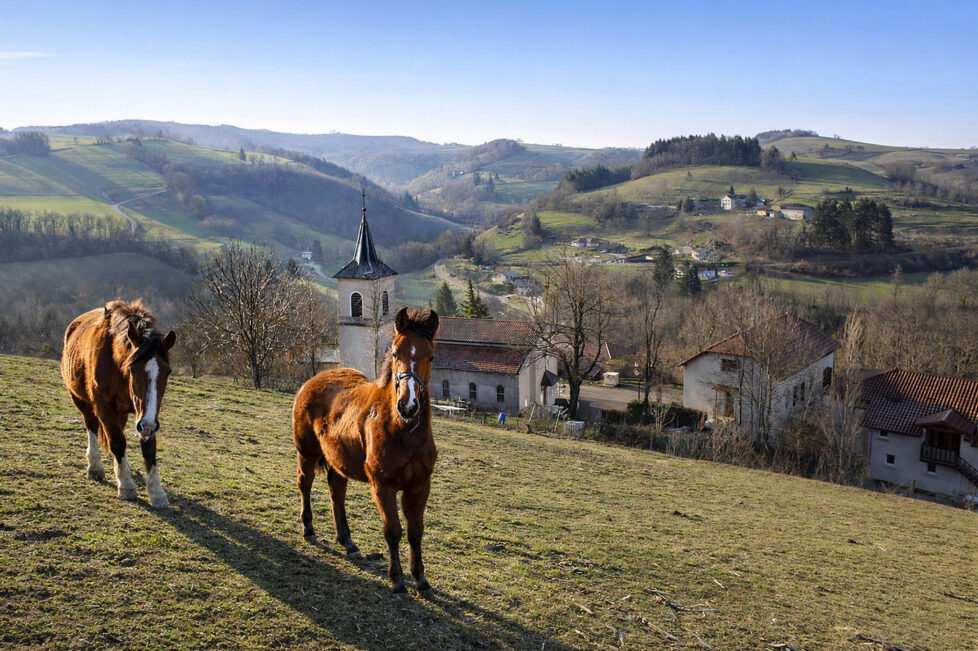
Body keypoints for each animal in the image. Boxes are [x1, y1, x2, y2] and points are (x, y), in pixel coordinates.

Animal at [61, 299, 176, 508]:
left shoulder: (148, 415)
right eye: (131, 369)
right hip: (82, 402)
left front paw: (156, 492)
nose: (147, 425)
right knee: (92, 426)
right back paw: (95, 467)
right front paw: (126, 486)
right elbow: (117, 442)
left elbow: (148, 448)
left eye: (168, 371)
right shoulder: (105, 408)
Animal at [293, 307, 439, 596]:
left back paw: (347, 541)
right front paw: (397, 581)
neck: (403, 431)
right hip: (307, 453)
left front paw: (421, 580)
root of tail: (311, 381)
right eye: (394, 353)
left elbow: (415, 531)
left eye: (430, 356)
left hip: (338, 460)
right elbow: (393, 530)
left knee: (336, 491)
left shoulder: (420, 486)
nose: (408, 405)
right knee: (305, 484)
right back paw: (309, 529)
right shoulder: (382, 485)